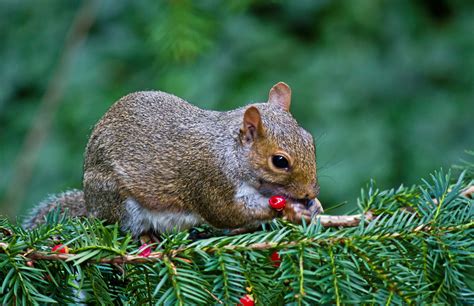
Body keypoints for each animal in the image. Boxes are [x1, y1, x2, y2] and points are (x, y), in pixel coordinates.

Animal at [25, 82, 322, 238]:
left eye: (310, 140)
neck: (231, 152)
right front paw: (292, 209)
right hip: (118, 200)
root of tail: (90, 204)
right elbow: (227, 212)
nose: (310, 192)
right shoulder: (210, 178)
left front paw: (313, 206)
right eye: (280, 161)